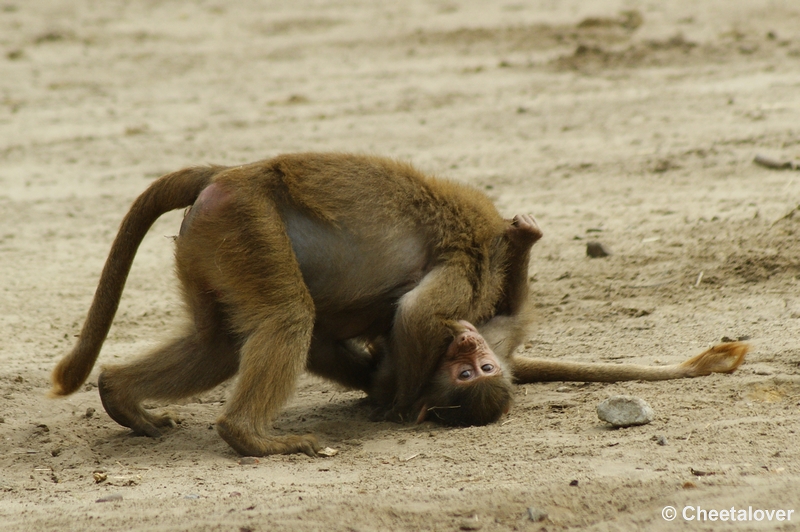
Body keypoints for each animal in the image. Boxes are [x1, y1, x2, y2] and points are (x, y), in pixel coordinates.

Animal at [50, 152, 752, 456]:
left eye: (477, 371)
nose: (469, 344)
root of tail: (232, 173)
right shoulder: (468, 275)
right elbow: (414, 318)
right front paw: (394, 405)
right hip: (247, 221)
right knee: (286, 319)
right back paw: (248, 437)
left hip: (216, 239)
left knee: (220, 342)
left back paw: (122, 395)